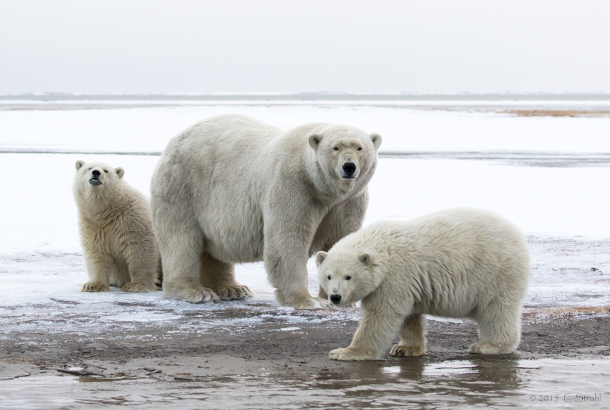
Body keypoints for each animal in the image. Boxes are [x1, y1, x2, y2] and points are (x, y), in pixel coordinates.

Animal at [73, 160, 162, 292]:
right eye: (89, 168)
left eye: (106, 170)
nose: (96, 172)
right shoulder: (93, 225)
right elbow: (96, 251)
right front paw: (92, 285)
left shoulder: (133, 220)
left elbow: (141, 249)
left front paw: (136, 285)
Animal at [151, 113, 380, 310]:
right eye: (335, 147)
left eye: (360, 148)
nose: (349, 167)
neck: (323, 190)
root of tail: (176, 138)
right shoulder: (293, 186)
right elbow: (287, 240)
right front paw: (309, 301)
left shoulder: (348, 202)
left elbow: (340, 238)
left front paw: (343, 299)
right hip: (183, 187)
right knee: (181, 239)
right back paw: (195, 291)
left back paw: (232, 289)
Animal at [316, 208, 528, 358]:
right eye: (328, 276)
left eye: (348, 276)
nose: (335, 297)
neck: (384, 249)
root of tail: (517, 234)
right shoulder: (406, 282)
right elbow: (409, 316)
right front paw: (405, 348)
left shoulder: (394, 277)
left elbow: (381, 315)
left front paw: (345, 352)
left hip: (495, 270)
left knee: (497, 309)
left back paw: (489, 345)